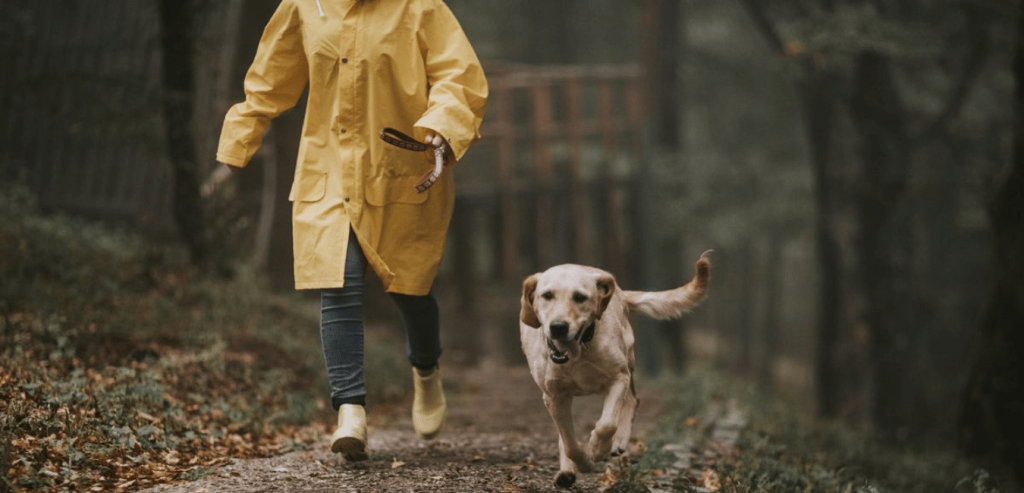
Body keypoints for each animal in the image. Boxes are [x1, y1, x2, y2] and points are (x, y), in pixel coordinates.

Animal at [520, 252, 712, 485]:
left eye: (580, 297)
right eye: (547, 295)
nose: (558, 327)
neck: (580, 352)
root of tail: (619, 292)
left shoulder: (617, 378)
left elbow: (607, 424)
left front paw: (597, 450)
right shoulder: (553, 396)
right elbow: (569, 443)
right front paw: (582, 462)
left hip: (628, 362)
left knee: (633, 399)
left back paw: (618, 441)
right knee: (564, 435)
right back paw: (566, 472)